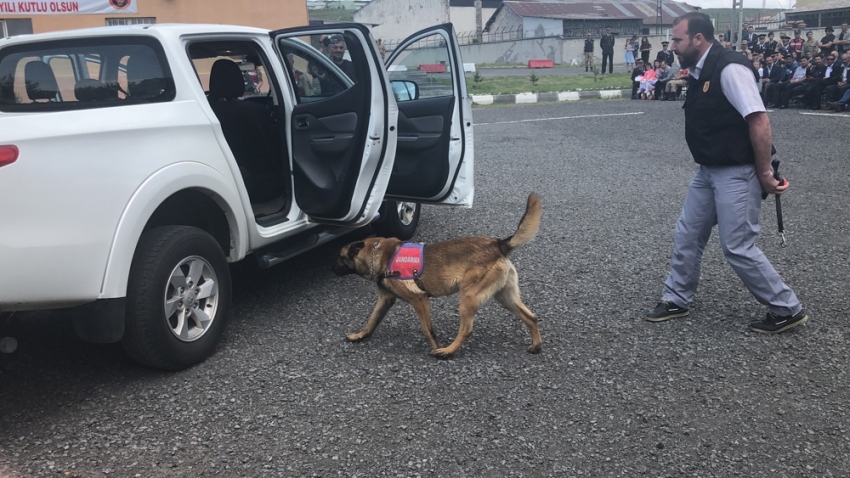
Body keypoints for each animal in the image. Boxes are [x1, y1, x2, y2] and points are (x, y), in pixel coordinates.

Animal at [332, 192, 544, 356]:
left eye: (340, 258)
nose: (332, 270)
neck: (381, 254)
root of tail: (498, 244)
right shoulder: (385, 300)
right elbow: (371, 321)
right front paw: (360, 336)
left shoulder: (419, 299)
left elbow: (428, 329)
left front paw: (436, 346)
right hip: (504, 297)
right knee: (531, 317)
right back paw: (536, 345)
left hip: (468, 297)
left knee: (466, 329)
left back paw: (448, 351)